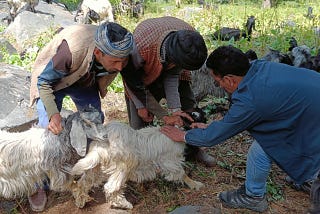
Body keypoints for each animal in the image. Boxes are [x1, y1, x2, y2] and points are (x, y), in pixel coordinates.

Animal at [71, 121, 204, 210]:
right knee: (111, 187)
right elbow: (183, 174)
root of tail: (101, 143)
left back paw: (80, 200)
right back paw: (124, 204)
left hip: (95, 167)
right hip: (124, 165)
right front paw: (195, 184)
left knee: (82, 182)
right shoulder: (171, 163)